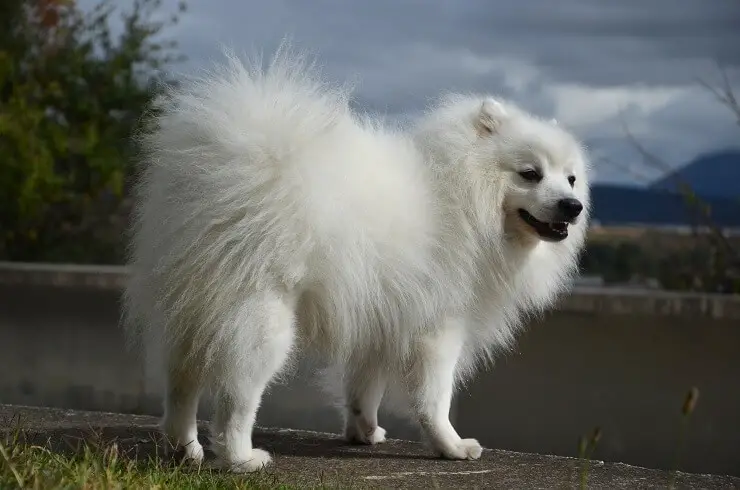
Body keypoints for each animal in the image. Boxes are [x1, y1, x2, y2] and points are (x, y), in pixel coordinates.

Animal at [124, 46, 592, 470]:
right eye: (530, 174)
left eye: (570, 178)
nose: (573, 206)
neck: (465, 196)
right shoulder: (439, 328)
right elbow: (434, 399)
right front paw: (452, 446)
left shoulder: (381, 318)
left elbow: (365, 386)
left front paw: (364, 431)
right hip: (261, 315)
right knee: (235, 396)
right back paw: (242, 458)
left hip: (192, 305)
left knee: (180, 382)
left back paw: (185, 449)